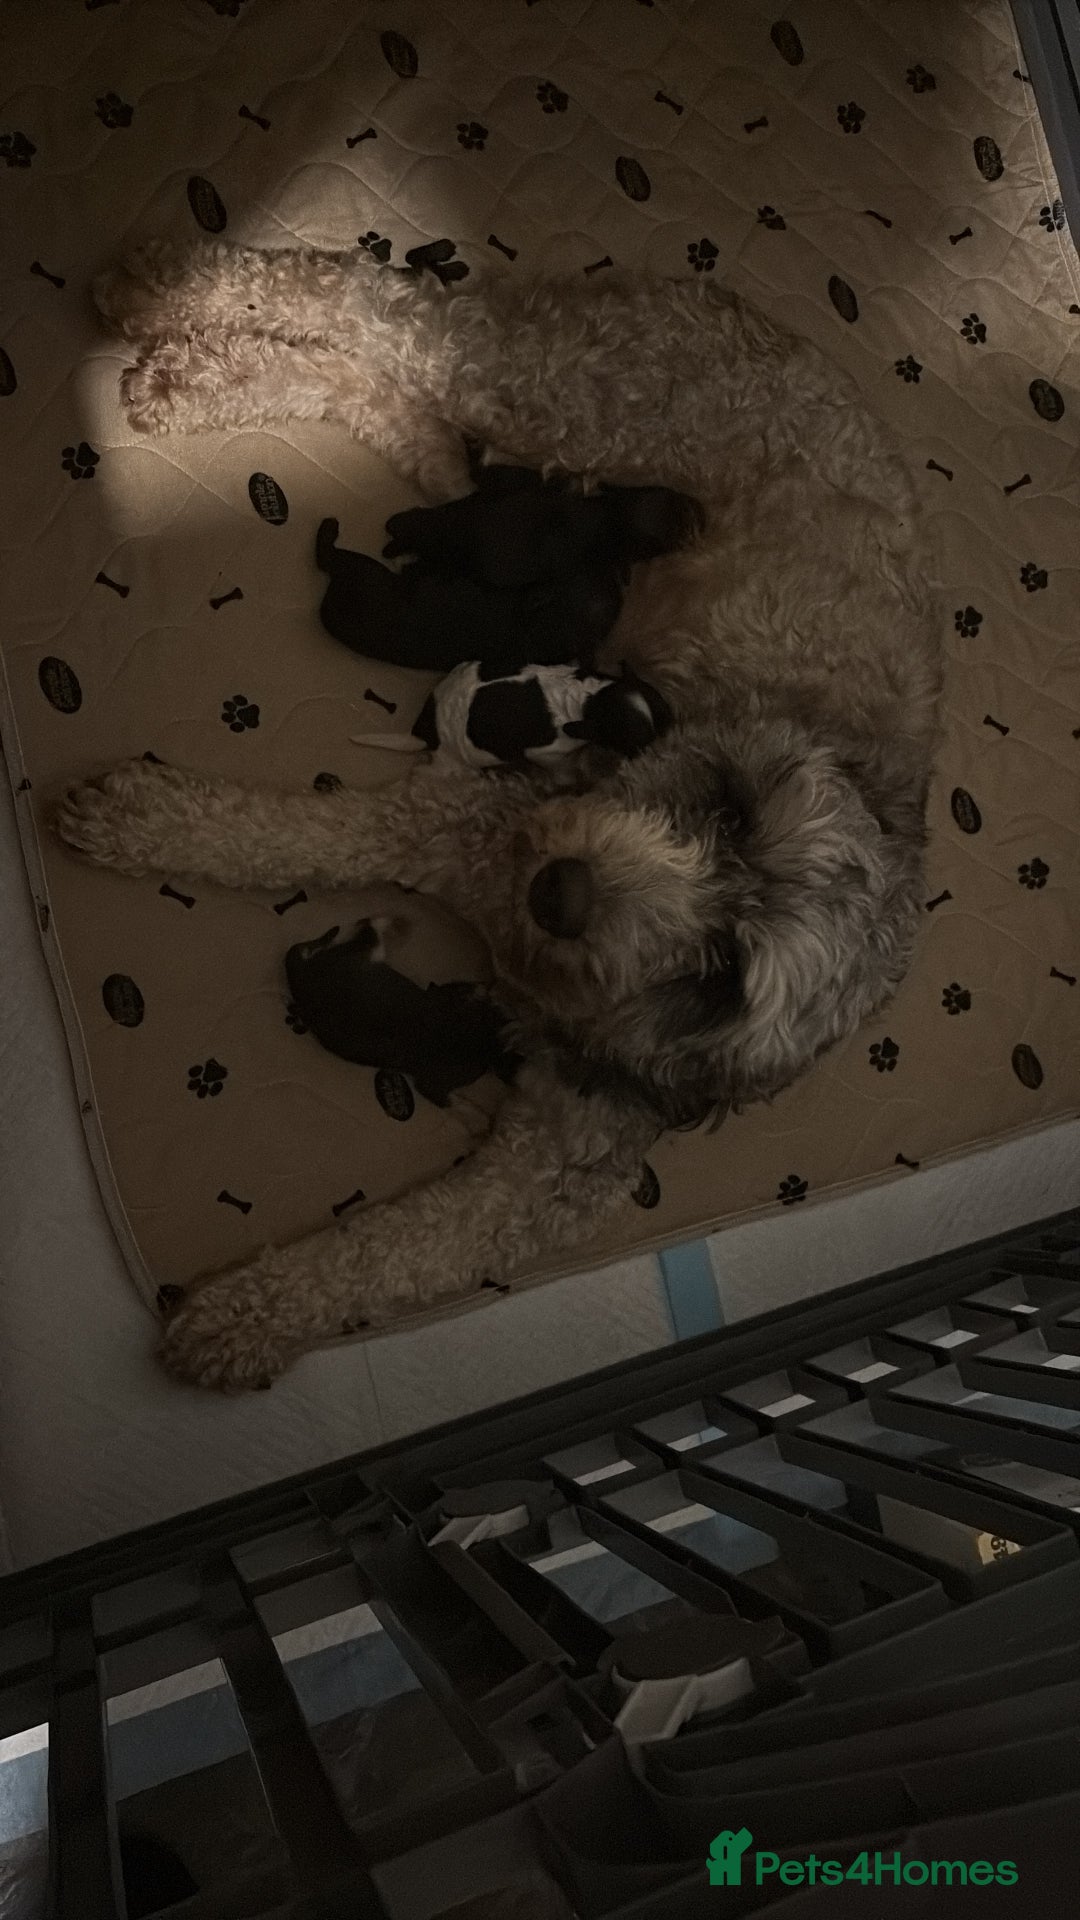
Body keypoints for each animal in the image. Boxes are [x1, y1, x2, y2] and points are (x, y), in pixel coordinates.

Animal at [58, 243, 941, 1390]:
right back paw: (163, 296)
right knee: (361, 298)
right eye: (727, 809)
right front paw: (139, 818)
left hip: (512, 439)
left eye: (721, 976)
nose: (559, 888)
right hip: (558, 388)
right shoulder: (449, 825)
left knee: (377, 386)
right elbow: (270, 831)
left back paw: (199, 377)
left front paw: (246, 1317)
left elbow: (400, 1250)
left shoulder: (545, 1170)